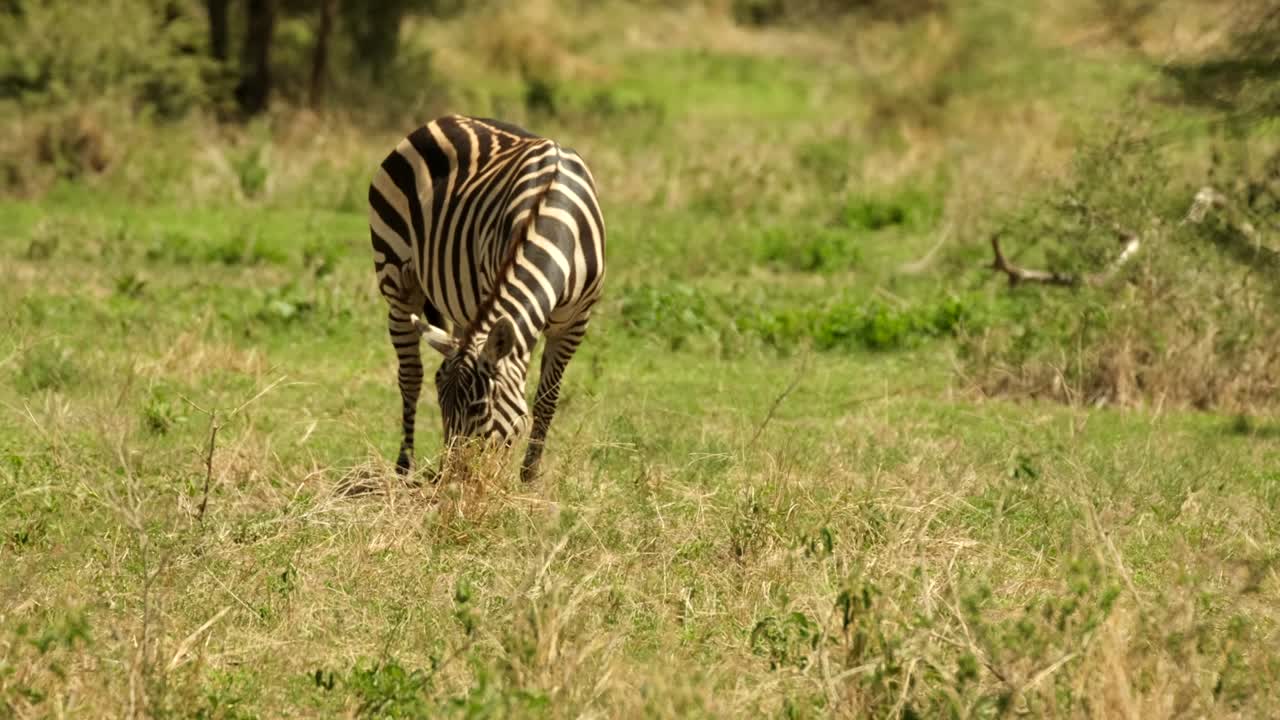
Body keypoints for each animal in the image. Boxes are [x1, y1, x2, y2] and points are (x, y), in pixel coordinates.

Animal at [368, 115, 605, 481]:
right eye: (442, 405)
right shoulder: (487, 287)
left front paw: (528, 477)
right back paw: (403, 468)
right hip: (397, 281)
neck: (555, 220)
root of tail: (441, 120)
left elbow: (547, 399)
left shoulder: (576, 322)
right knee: (410, 376)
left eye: (479, 407)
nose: (452, 478)